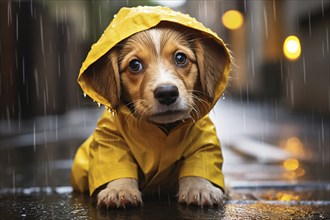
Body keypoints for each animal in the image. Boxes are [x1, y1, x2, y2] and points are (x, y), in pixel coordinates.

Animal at [80, 23, 229, 209]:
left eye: (181, 58)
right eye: (135, 65)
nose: (167, 93)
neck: (162, 127)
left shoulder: (203, 140)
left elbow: (198, 163)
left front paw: (200, 188)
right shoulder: (109, 139)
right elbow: (117, 162)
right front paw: (119, 190)